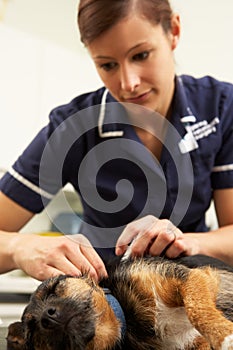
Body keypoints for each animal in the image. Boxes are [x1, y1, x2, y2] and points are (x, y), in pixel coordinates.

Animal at [5, 254, 233, 350]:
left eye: (55, 287)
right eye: (32, 330)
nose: (47, 317)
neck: (128, 321)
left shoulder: (192, 277)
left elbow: (196, 308)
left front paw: (224, 335)